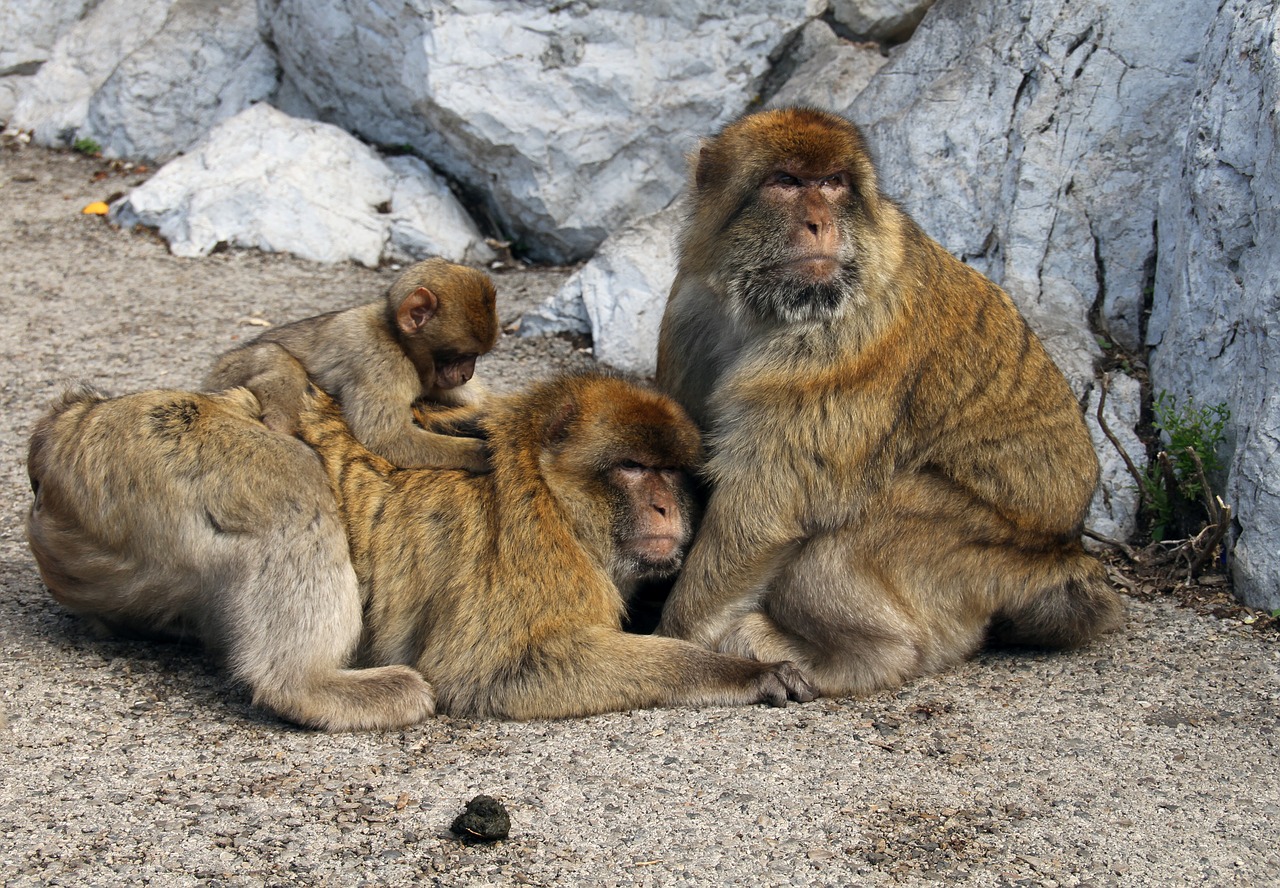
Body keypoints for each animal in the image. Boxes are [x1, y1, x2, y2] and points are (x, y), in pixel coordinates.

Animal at [206, 257, 499, 473]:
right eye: (462, 356)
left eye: (474, 357)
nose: (466, 374)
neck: (396, 337)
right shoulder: (381, 362)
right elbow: (387, 439)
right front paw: (482, 453)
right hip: (226, 370)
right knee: (273, 355)